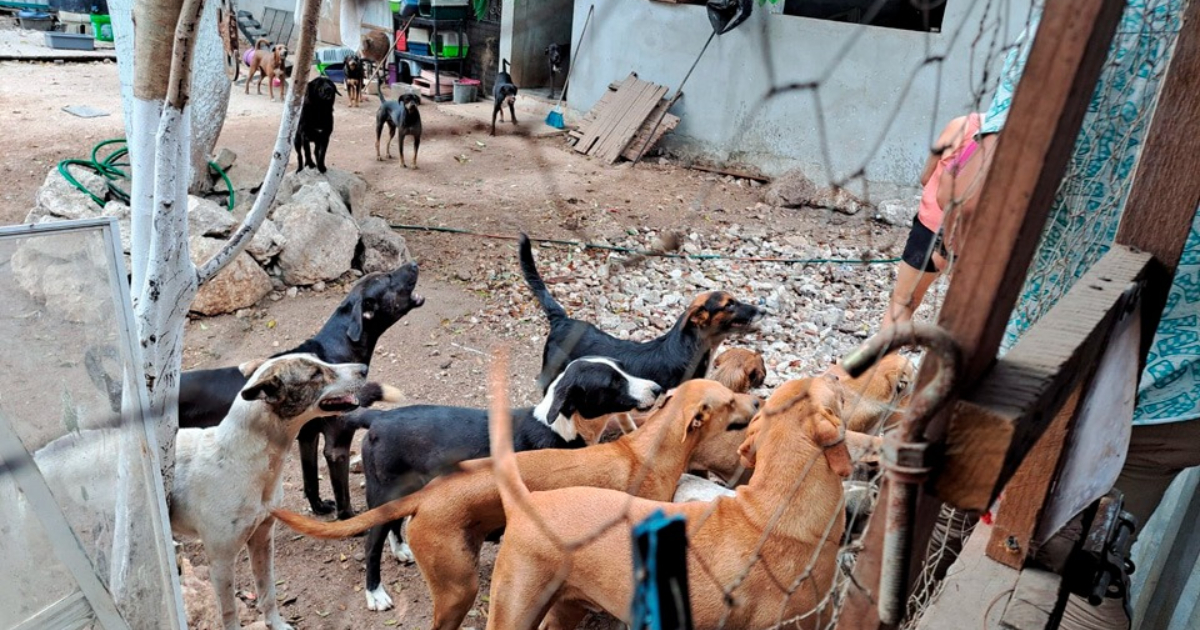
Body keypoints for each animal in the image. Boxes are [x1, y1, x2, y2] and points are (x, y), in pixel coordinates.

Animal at [175, 262, 424, 518]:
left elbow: (310, 479)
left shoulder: (307, 436)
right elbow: (342, 495)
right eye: (388, 278)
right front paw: (349, 519)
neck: (337, 349)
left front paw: (319, 507)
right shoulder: (337, 445)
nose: (414, 264)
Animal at [482, 374, 849, 628]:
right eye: (824, 389)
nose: (837, 375)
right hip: (514, 610)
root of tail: (526, 503)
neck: (774, 505)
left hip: (565, 604)